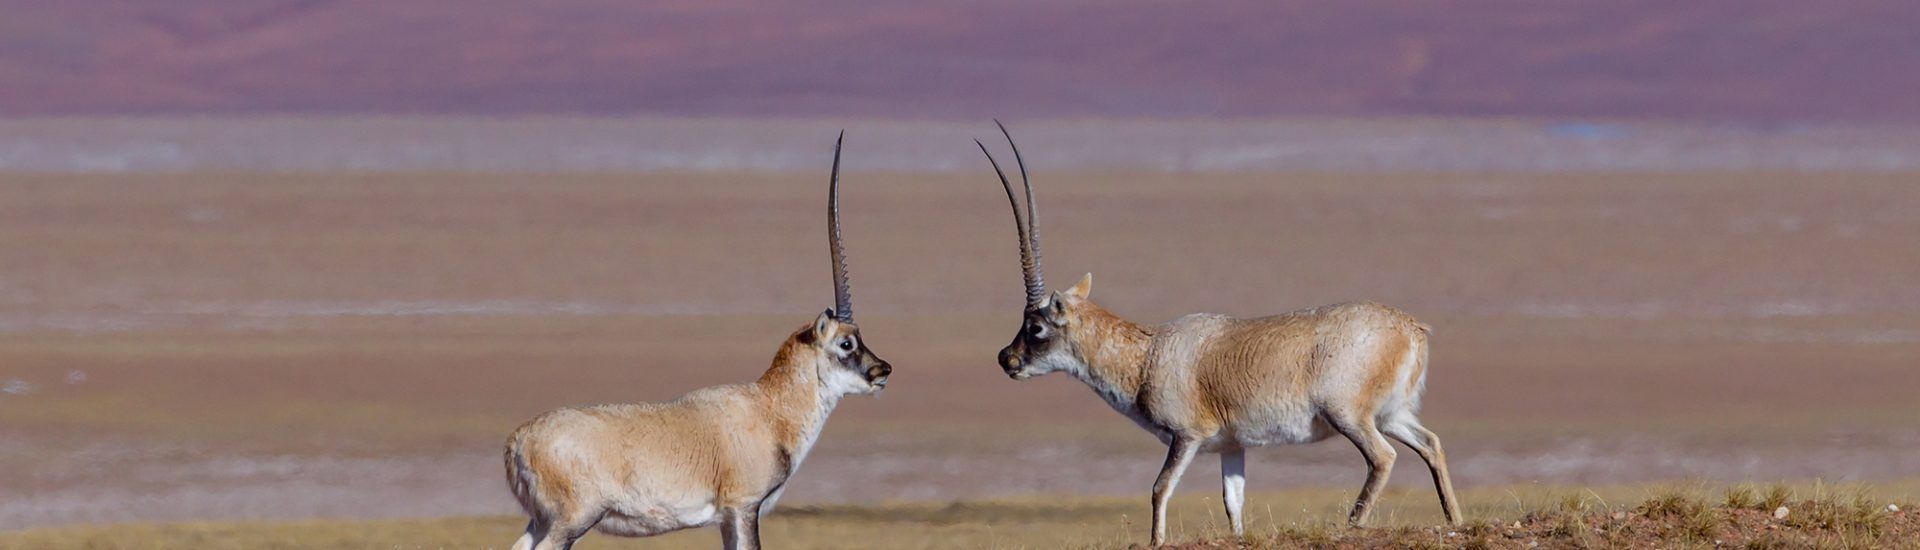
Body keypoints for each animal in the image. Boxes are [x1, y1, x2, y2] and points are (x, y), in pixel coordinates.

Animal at [504, 133, 891, 550]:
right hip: (572, 520)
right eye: (846, 344)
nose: (882, 370)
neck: (769, 409)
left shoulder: (726, 519)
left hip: (542, 520)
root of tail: (518, 441)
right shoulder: (745, 507)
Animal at [974, 122, 1461, 546]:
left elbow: (1160, 487)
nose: (1006, 358)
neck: (1149, 354)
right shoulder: (1232, 445)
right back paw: (1453, 519)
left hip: (1351, 417)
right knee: (1431, 444)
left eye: (1036, 327)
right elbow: (1233, 502)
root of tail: (1410, 327)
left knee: (1383, 457)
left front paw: (1155, 541)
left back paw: (1354, 524)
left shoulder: (1186, 437)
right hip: (1392, 414)